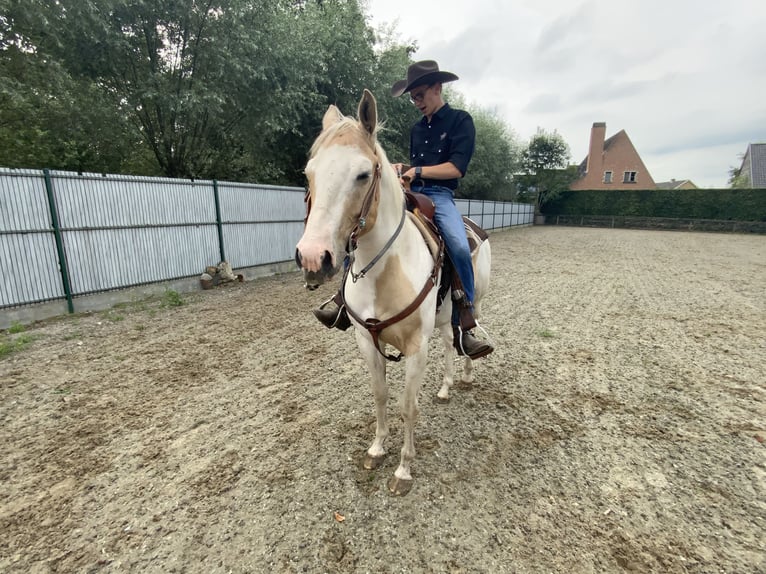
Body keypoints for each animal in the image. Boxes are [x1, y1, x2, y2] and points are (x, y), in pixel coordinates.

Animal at [294, 89, 492, 496]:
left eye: (362, 174)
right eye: (309, 173)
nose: (312, 257)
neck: (383, 272)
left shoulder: (416, 348)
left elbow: (407, 406)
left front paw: (403, 469)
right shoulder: (367, 342)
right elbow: (381, 396)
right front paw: (376, 449)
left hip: (475, 301)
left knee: (467, 331)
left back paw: (466, 373)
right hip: (442, 315)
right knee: (449, 341)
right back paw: (446, 387)